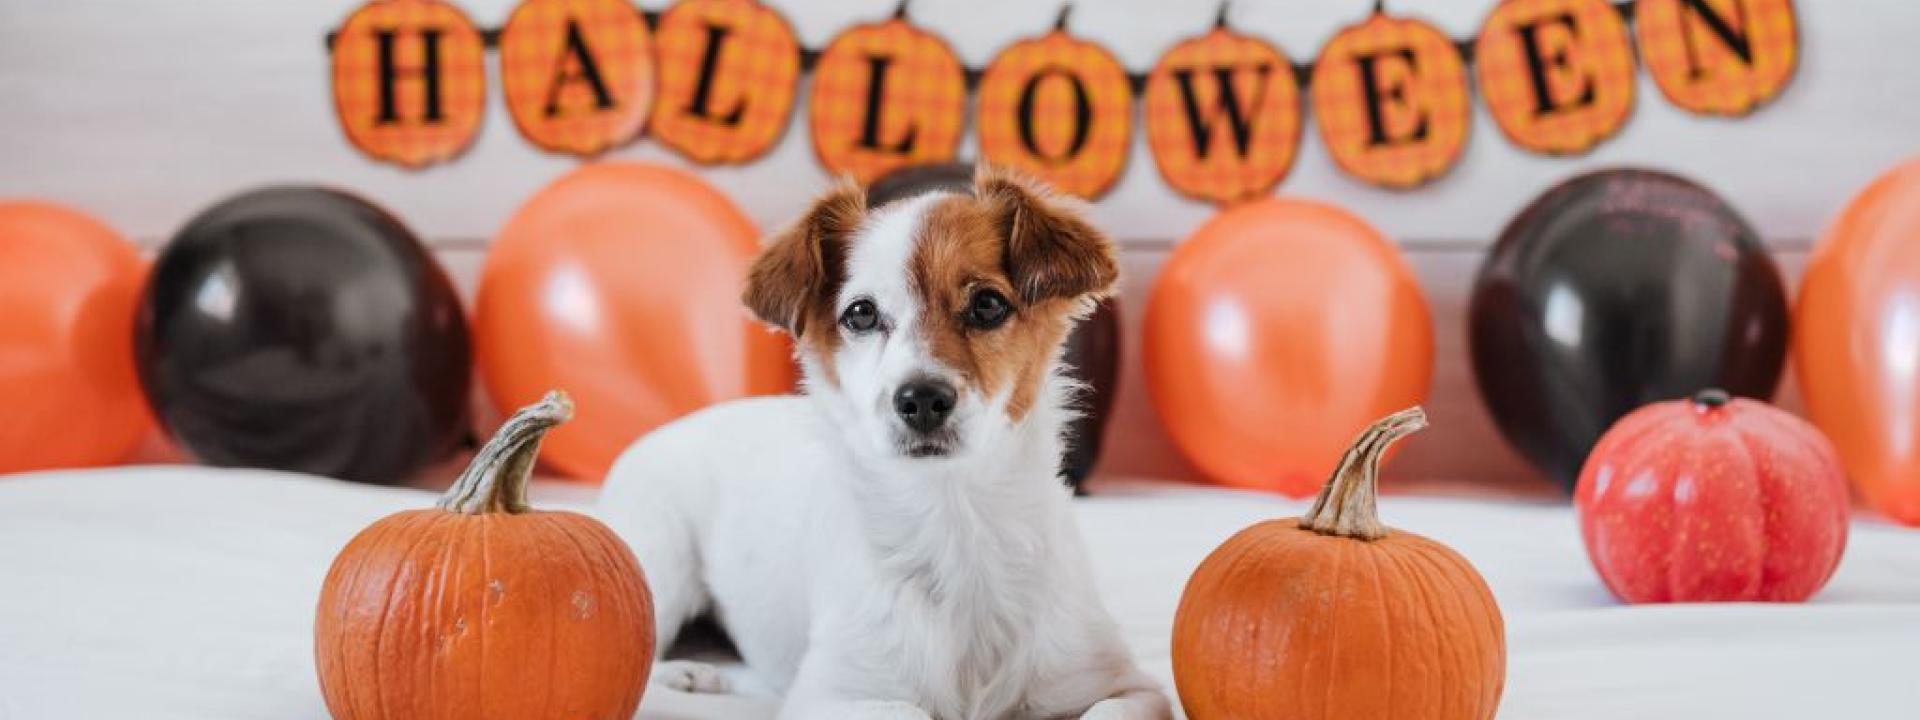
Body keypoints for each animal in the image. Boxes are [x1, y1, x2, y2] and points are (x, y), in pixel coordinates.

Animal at [599, 165, 1167, 720]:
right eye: (862, 313)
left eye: (987, 304)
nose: (921, 399)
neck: (953, 519)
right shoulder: (830, 696)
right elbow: (906, 710)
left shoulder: (1125, 683)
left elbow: (1110, 710)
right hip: (659, 562)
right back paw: (688, 673)